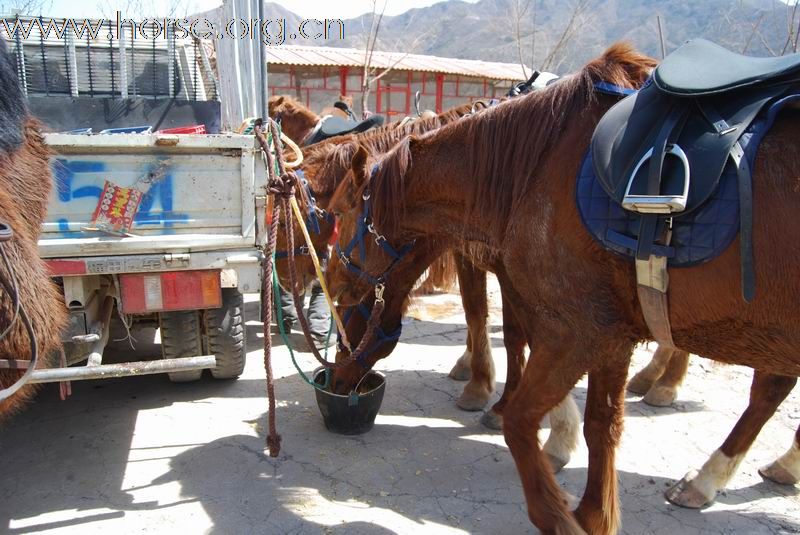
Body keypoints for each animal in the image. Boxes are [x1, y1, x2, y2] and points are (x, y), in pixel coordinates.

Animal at [324, 44, 800, 532]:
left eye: (340, 212)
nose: (336, 376)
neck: (533, 170)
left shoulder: (576, 329)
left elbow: (520, 405)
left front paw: (553, 493)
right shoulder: (611, 332)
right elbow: (601, 424)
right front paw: (592, 510)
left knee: (768, 388)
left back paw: (698, 456)